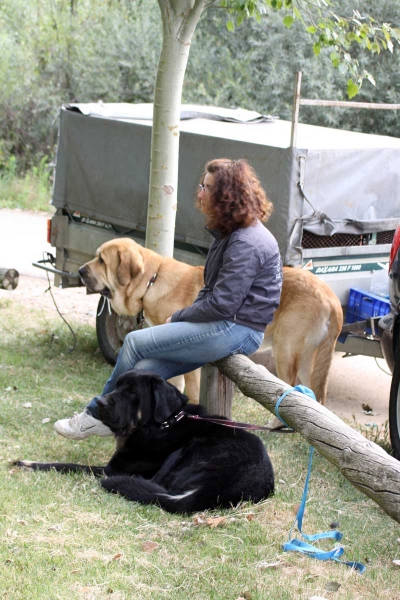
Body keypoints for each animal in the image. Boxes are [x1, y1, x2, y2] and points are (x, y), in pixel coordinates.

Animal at [14, 372, 276, 512]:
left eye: (132, 393)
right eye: (117, 386)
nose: (99, 402)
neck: (160, 425)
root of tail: (215, 490)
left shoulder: (112, 468)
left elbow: (65, 465)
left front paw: (26, 463)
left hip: (187, 450)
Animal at [79, 238, 342, 404]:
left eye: (101, 260)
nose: (80, 271)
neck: (152, 281)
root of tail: (332, 298)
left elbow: (193, 391)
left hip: (285, 350)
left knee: (290, 389)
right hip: (308, 359)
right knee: (314, 396)